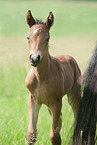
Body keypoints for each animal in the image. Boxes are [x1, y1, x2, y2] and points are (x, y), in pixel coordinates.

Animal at [25, 10, 81, 144]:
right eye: (28, 37)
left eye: (47, 38)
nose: (34, 58)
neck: (41, 77)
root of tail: (69, 57)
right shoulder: (33, 99)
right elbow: (31, 134)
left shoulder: (57, 102)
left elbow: (54, 136)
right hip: (48, 105)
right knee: (59, 119)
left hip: (73, 96)